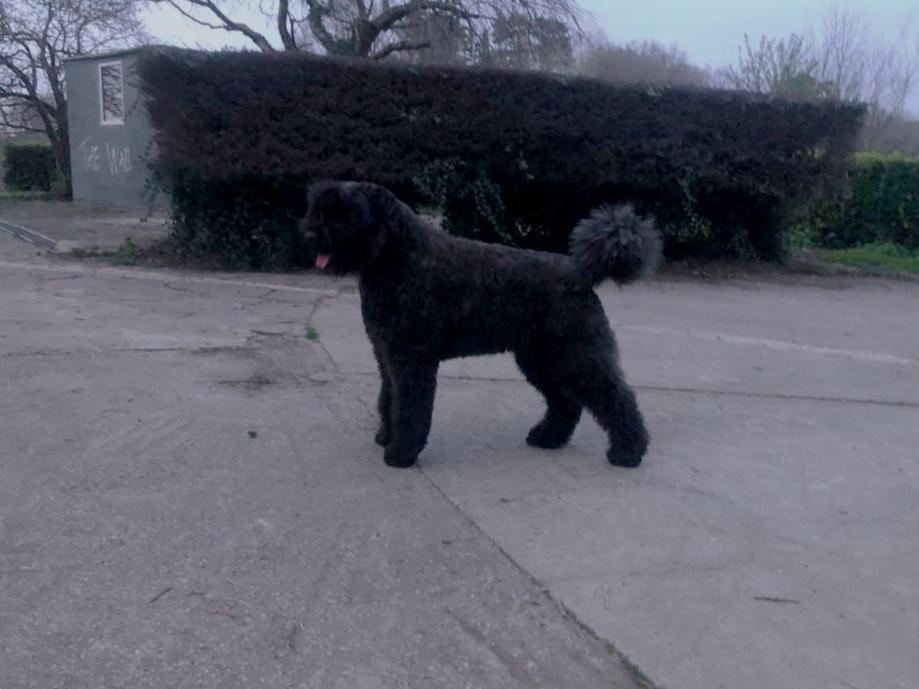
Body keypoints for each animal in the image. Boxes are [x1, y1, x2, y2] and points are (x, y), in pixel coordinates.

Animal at [306, 181, 656, 468]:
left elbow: (410, 407)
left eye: (349, 210)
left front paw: (400, 453)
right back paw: (547, 438)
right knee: (565, 402)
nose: (311, 234)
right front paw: (385, 436)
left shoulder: (412, 359)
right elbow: (388, 398)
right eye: (320, 208)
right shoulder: (386, 355)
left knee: (616, 398)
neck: (399, 257)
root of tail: (581, 271)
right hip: (541, 359)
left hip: (577, 355)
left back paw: (628, 452)